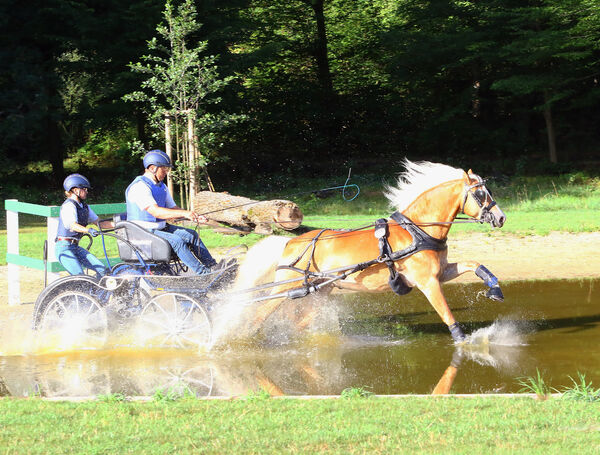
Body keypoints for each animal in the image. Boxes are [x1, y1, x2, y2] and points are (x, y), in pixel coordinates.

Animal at [234, 160, 506, 342]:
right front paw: (465, 342)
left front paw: (495, 289)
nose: (501, 217)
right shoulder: (428, 282)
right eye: (480, 193)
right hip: (285, 288)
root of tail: (290, 243)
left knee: (300, 324)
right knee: (258, 315)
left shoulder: (440, 272)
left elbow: (474, 264)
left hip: (320, 291)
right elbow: (447, 314)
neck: (417, 231)